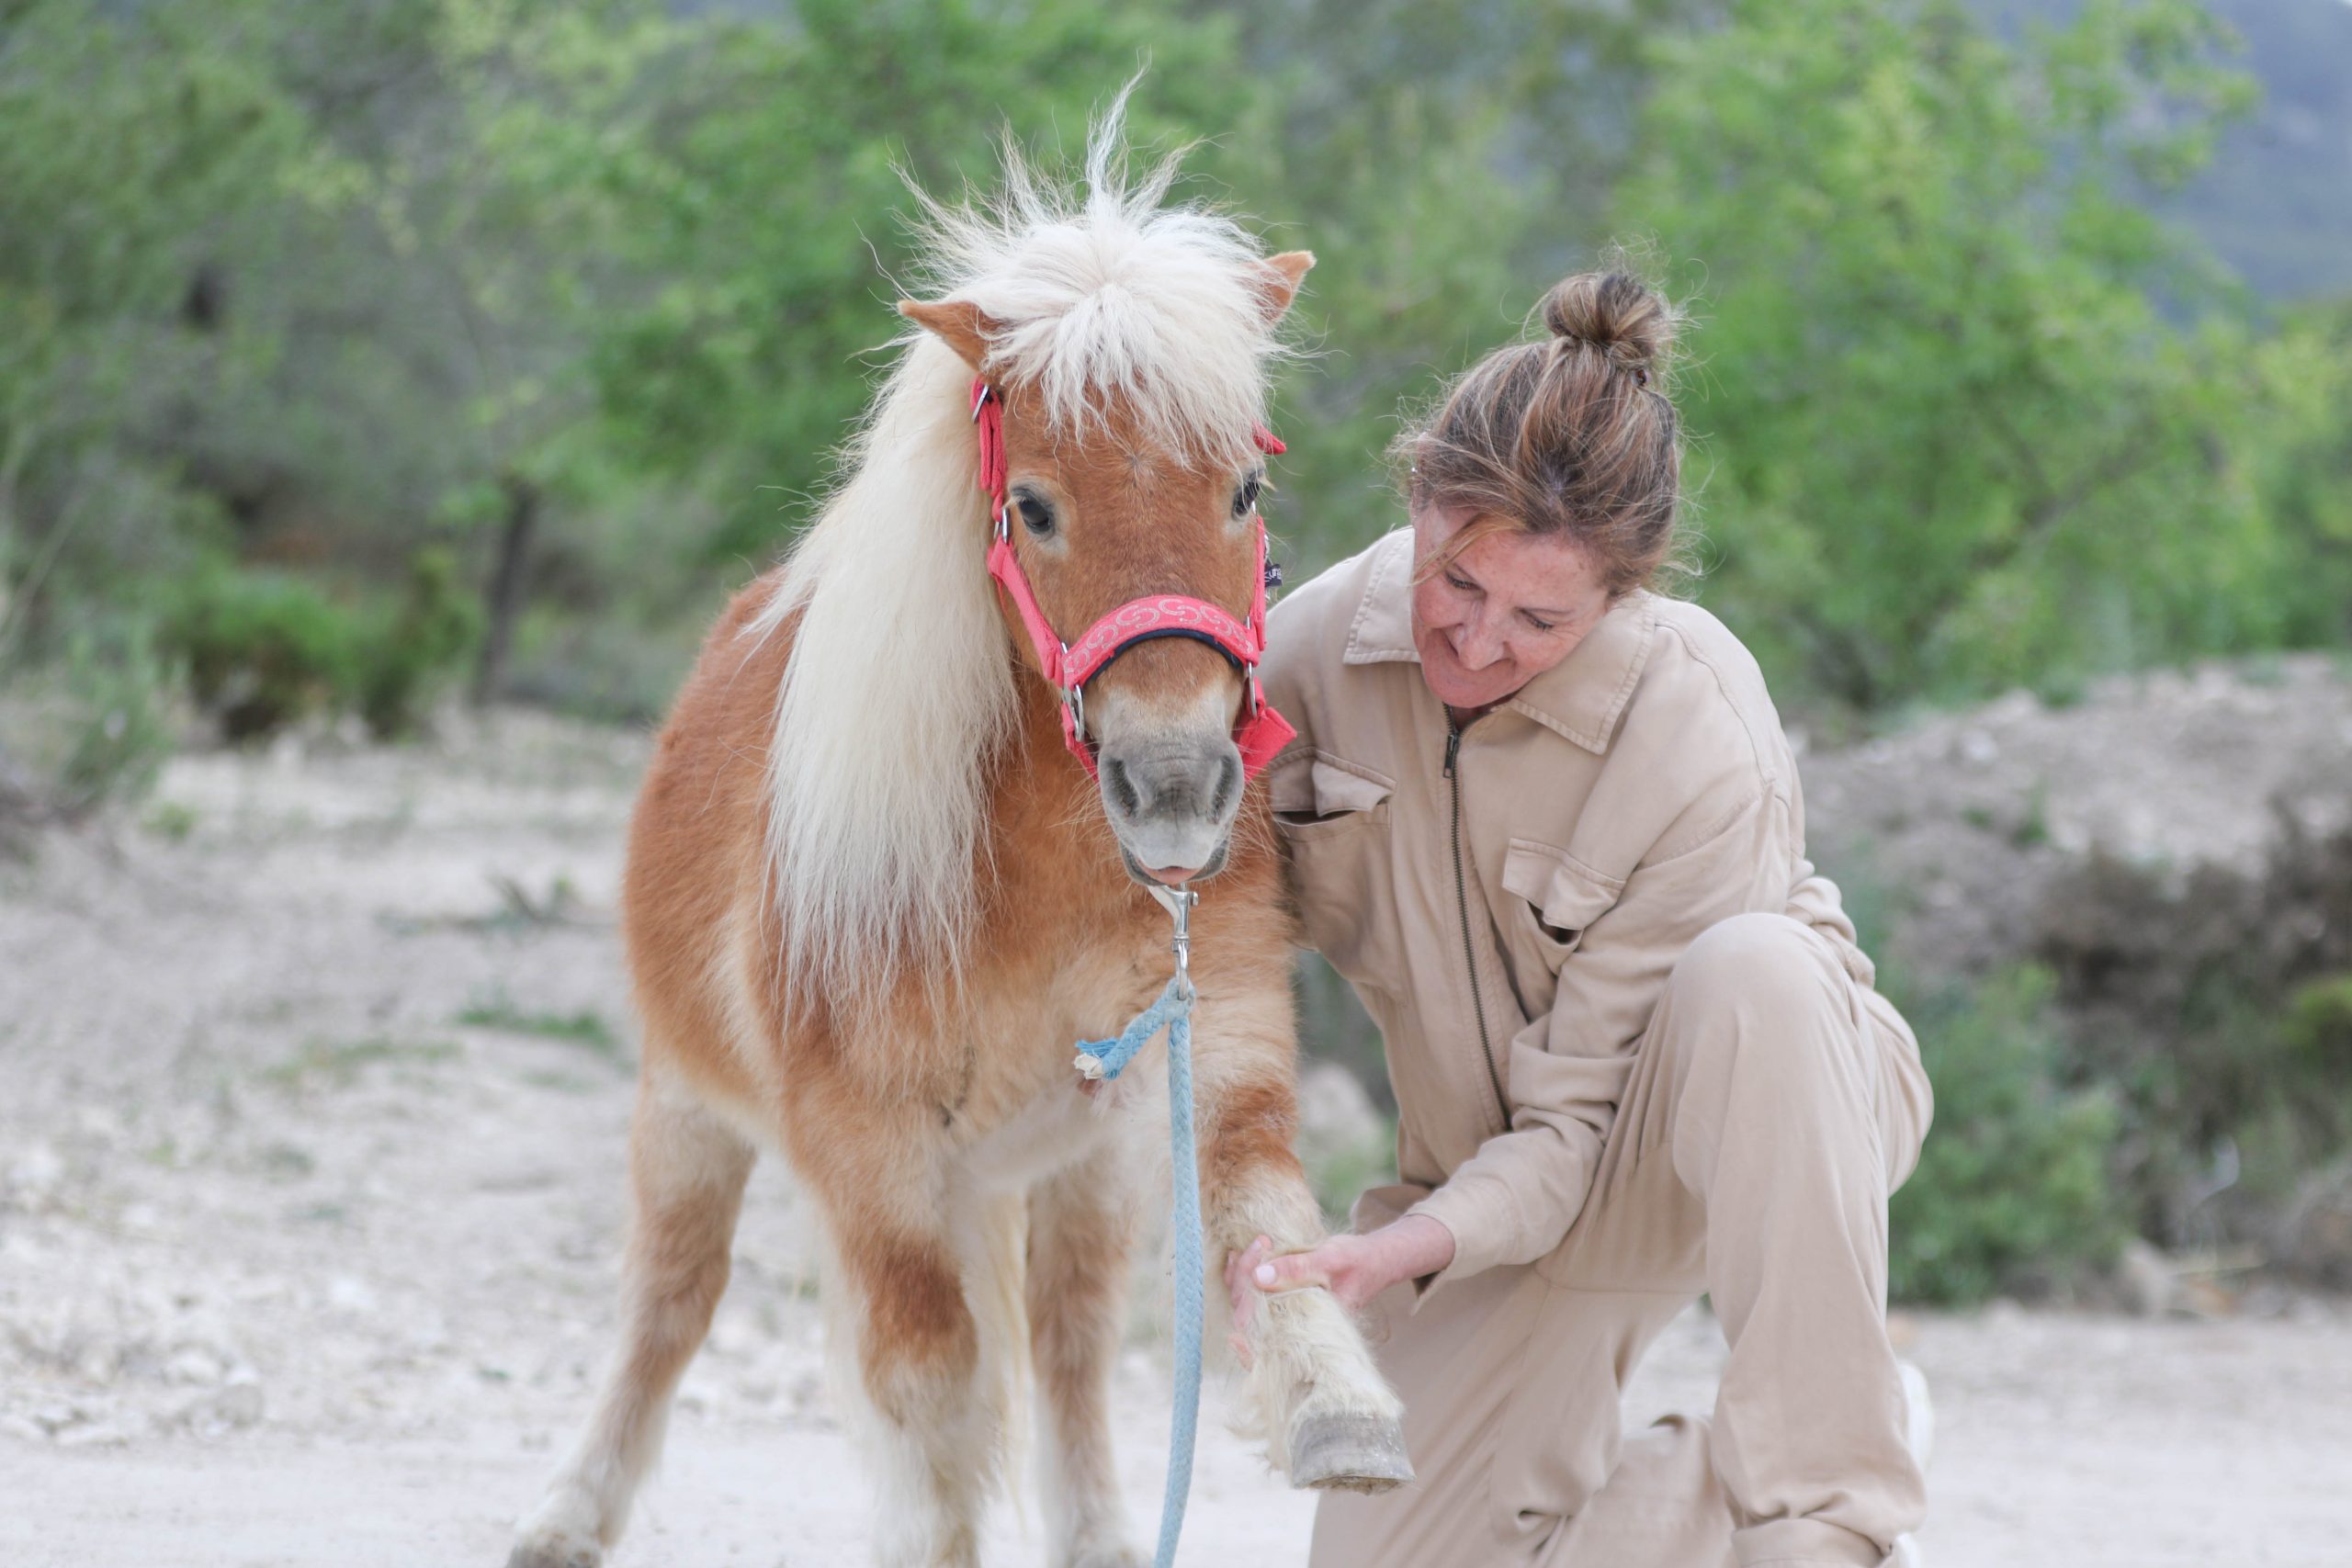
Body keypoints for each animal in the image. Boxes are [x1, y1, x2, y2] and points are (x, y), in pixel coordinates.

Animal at [505, 119, 1409, 1568]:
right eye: (1032, 505)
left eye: (1246, 487)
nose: (1175, 790)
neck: (1029, 877)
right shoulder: (869, 1153)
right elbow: (928, 1388)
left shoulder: (1210, 1031)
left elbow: (1264, 1206)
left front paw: (1339, 1409)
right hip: (687, 1111)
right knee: (671, 1302)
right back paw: (565, 1514)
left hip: (1076, 1168)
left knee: (1073, 1340)